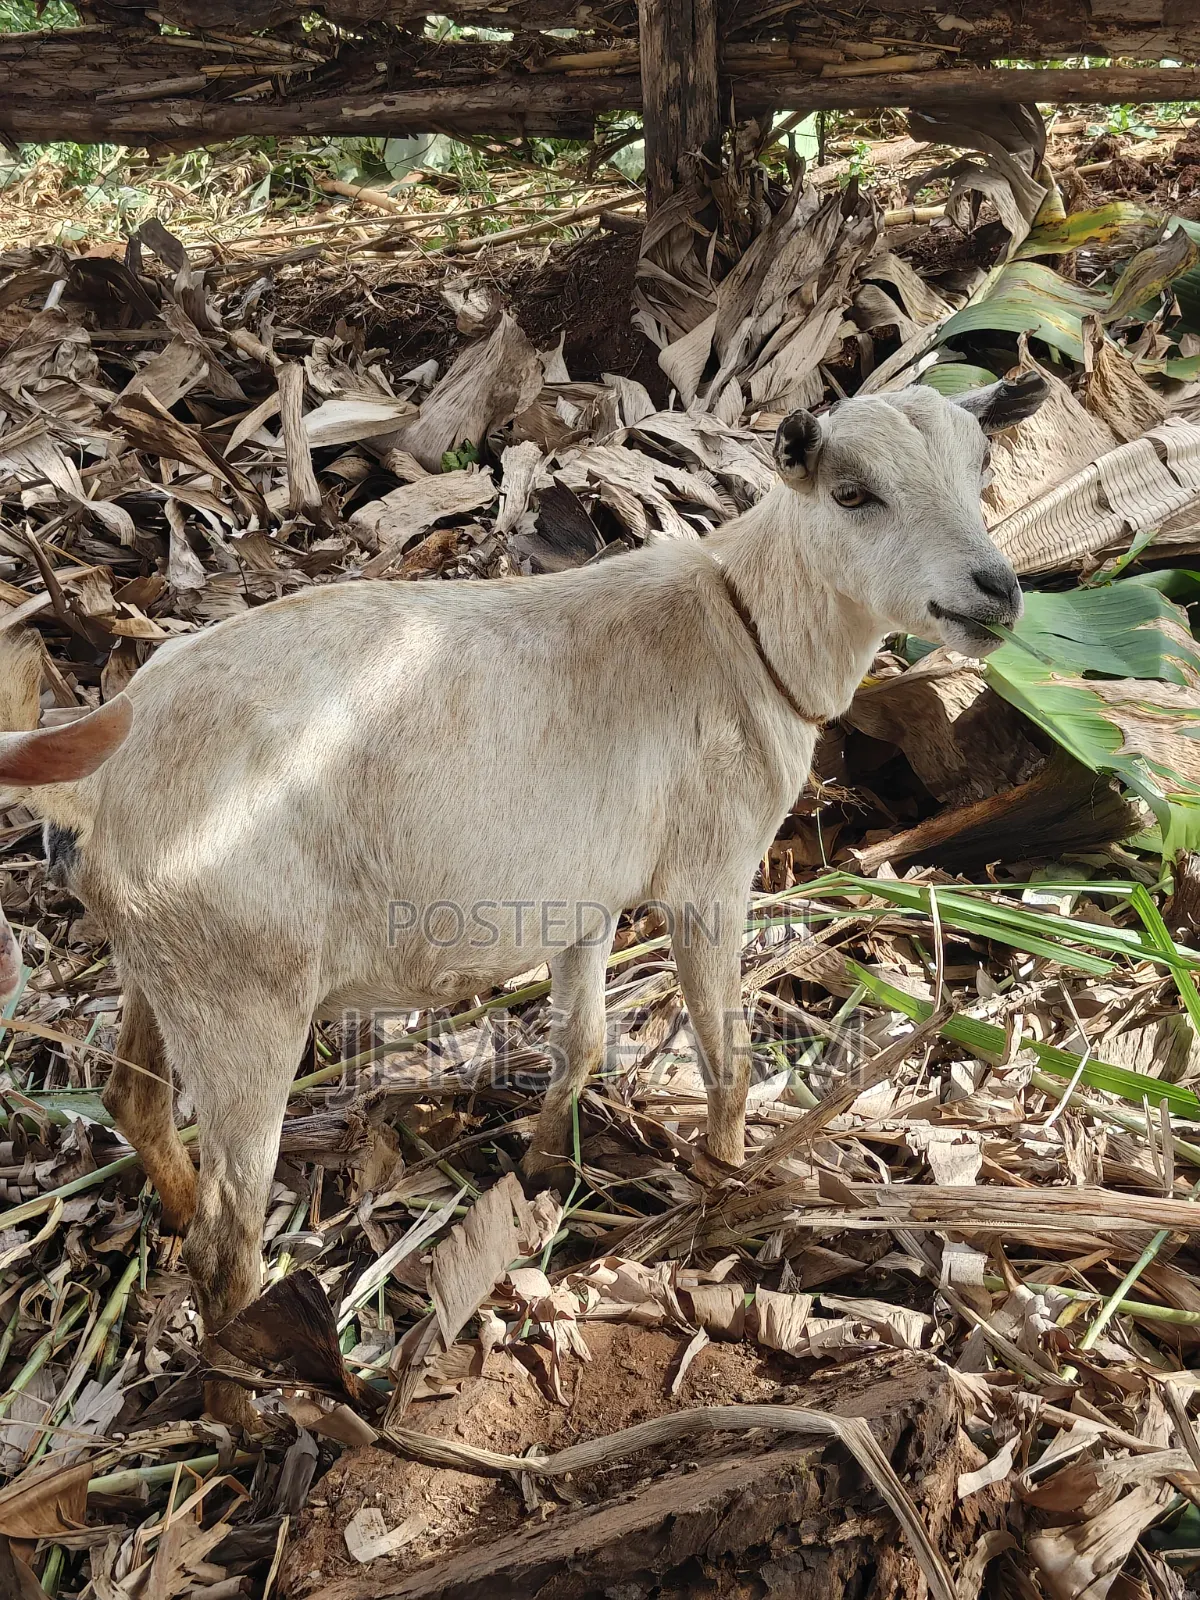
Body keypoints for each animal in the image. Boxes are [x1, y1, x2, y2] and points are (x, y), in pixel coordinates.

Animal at [0, 376, 1045, 1424]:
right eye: (853, 493)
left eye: (980, 468)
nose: (998, 591)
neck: (745, 625)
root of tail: (100, 781)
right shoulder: (708, 875)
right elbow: (727, 1057)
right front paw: (724, 1189)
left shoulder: (584, 894)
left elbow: (580, 1042)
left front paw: (542, 1172)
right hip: (244, 995)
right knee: (227, 1243)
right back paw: (244, 1413)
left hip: (165, 961)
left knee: (134, 1098)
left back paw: (176, 1220)